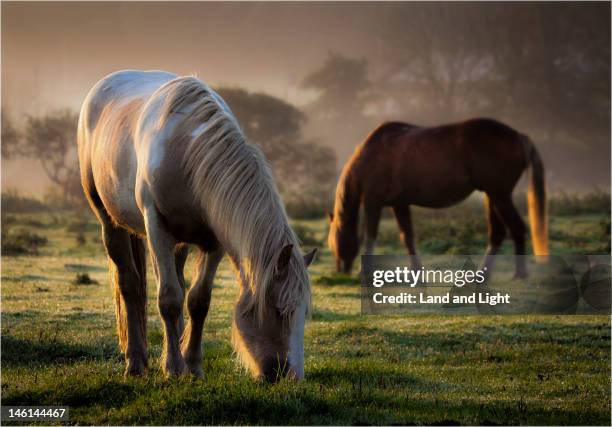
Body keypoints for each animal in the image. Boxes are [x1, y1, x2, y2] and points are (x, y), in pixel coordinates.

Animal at [77, 70, 316, 382]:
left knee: (177, 283)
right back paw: (136, 362)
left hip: (179, 243)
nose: (292, 376)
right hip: (109, 221)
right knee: (130, 284)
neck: (186, 150)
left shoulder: (214, 241)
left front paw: (192, 365)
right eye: (278, 310)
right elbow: (168, 298)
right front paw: (173, 368)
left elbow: (198, 301)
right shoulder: (157, 229)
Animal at [328, 118, 548, 278]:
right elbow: (407, 237)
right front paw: (416, 272)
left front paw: (363, 271)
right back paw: (482, 275)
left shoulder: (373, 203)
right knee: (498, 233)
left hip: (500, 196)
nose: (340, 270)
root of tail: (519, 136)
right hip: (492, 197)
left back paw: (519, 274)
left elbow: (371, 236)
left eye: (332, 241)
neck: (371, 155)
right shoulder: (400, 204)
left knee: (517, 228)